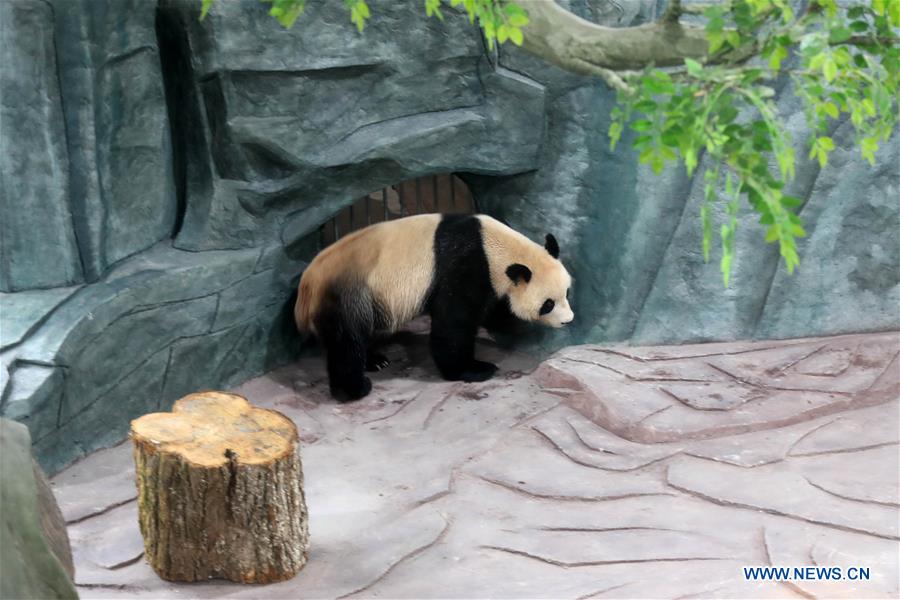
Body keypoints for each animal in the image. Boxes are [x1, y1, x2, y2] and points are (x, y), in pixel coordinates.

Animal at [295, 213, 574, 400]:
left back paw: (375, 360)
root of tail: (306, 286)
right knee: (346, 342)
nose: (568, 320)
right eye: (548, 304)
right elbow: (453, 324)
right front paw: (474, 369)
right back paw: (355, 388)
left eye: (567, 292)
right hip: (347, 295)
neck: (493, 246)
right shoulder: (463, 267)